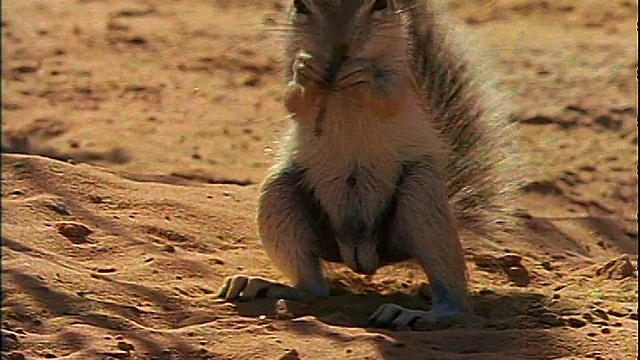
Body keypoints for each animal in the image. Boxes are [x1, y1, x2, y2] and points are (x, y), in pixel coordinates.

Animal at [219, 0, 520, 330]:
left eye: (381, 4)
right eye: (300, 5)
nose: (340, 48)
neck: (337, 85)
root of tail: (361, 252)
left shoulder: (403, 78)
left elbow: (387, 97)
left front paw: (362, 74)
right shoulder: (289, 70)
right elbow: (293, 99)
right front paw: (306, 72)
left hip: (422, 197)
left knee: (455, 300)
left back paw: (417, 313)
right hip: (279, 194)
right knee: (314, 288)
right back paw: (261, 285)